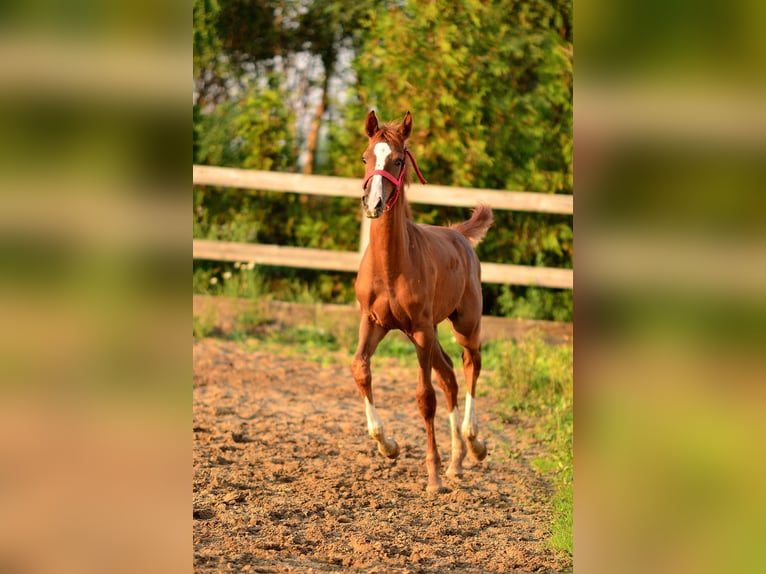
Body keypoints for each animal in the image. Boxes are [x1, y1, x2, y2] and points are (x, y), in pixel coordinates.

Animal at [352, 111, 496, 496]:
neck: (392, 265)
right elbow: (361, 369)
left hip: (464, 323)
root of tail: (458, 234)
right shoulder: (373, 321)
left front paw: (432, 477)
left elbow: (424, 397)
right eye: (366, 157)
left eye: (398, 161)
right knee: (448, 375)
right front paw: (388, 446)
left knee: (470, 365)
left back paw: (474, 443)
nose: (373, 204)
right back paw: (457, 461)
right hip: (430, 331)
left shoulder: (418, 329)